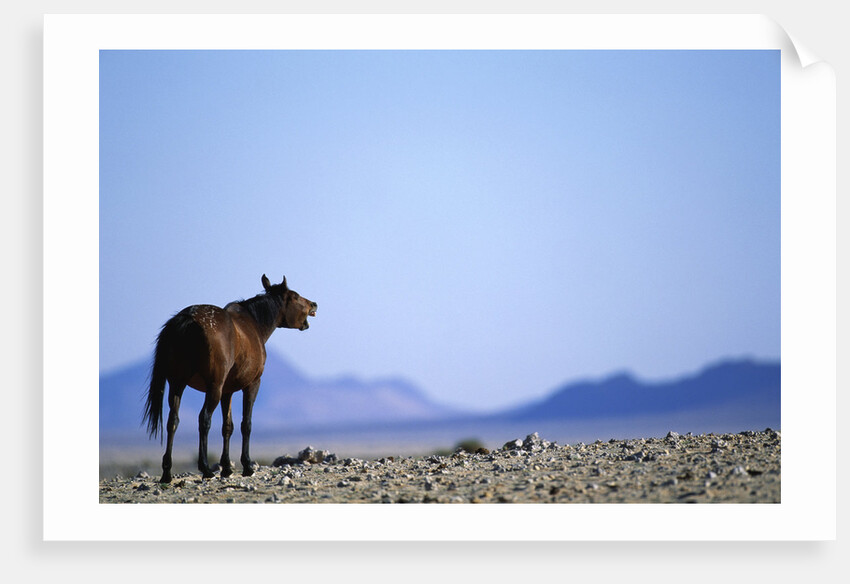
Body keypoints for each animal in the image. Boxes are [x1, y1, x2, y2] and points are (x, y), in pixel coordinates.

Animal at [142, 274, 317, 483]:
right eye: (295, 296)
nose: (314, 304)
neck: (254, 324)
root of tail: (187, 319)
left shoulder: (228, 390)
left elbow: (227, 426)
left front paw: (226, 467)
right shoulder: (251, 385)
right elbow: (245, 424)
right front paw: (247, 465)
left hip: (178, 385)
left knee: (172, 421)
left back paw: (167, 473)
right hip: (213, 388)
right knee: (204, 419)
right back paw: (205, 469)